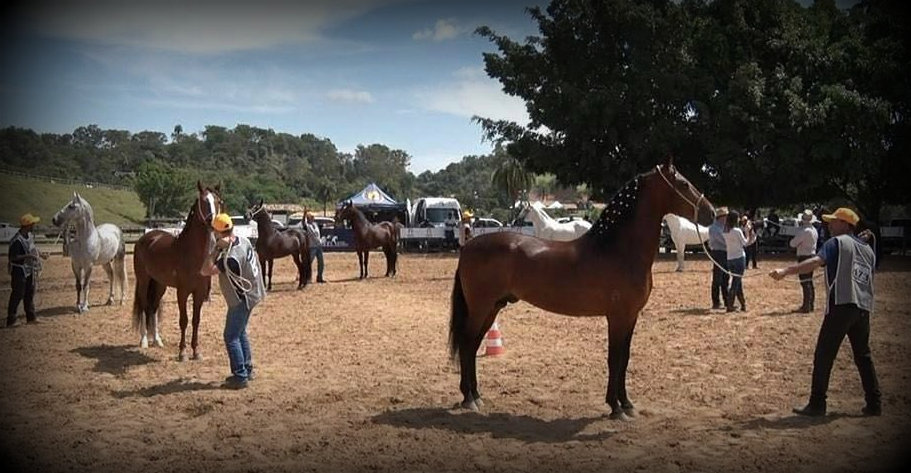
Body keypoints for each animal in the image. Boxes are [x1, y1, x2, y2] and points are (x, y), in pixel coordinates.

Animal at [131, 183, 222, 360]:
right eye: (203, 201)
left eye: (218, 201)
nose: (212, 222)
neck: (191, 253)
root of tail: (145, 238)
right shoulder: (183, 292)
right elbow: (184, 320)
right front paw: (182, 353)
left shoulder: (199, 292)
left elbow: (196, 320)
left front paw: (196, 352)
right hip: (144, 281)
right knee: (145, 306)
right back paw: (144, 341)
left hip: (159, 285)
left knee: (153, 308)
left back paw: (157, 340)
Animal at [452, 161, 716, 416]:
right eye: (683, 184)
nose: (711, 213)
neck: (618, 250)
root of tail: (469, 246)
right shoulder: (618, 317)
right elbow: (614, 359)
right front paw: (615, 407)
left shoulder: (630, 317)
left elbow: (625, 359)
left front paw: (627, 404)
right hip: (481, 308)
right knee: (466, 344)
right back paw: (469, 399)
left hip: (492, 308)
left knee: (472, 345)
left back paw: (476, 396)